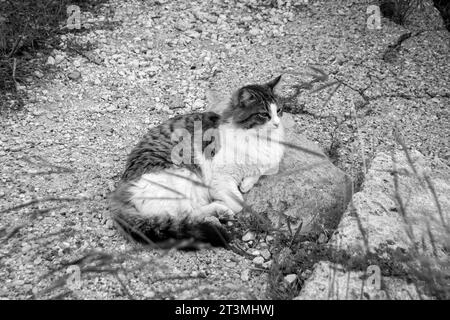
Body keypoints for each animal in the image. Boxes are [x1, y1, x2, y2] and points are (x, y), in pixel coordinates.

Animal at [110, 75, 284, 248]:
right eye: (264, 114)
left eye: (279, 111)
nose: (277, 124)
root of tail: (119, 194)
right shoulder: (221, 176)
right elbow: (238, 202)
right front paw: (229, 201)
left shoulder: (268, 163)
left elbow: (259, 172)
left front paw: (246, 183)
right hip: (183, 175)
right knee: (185, 216)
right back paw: (220, 210)